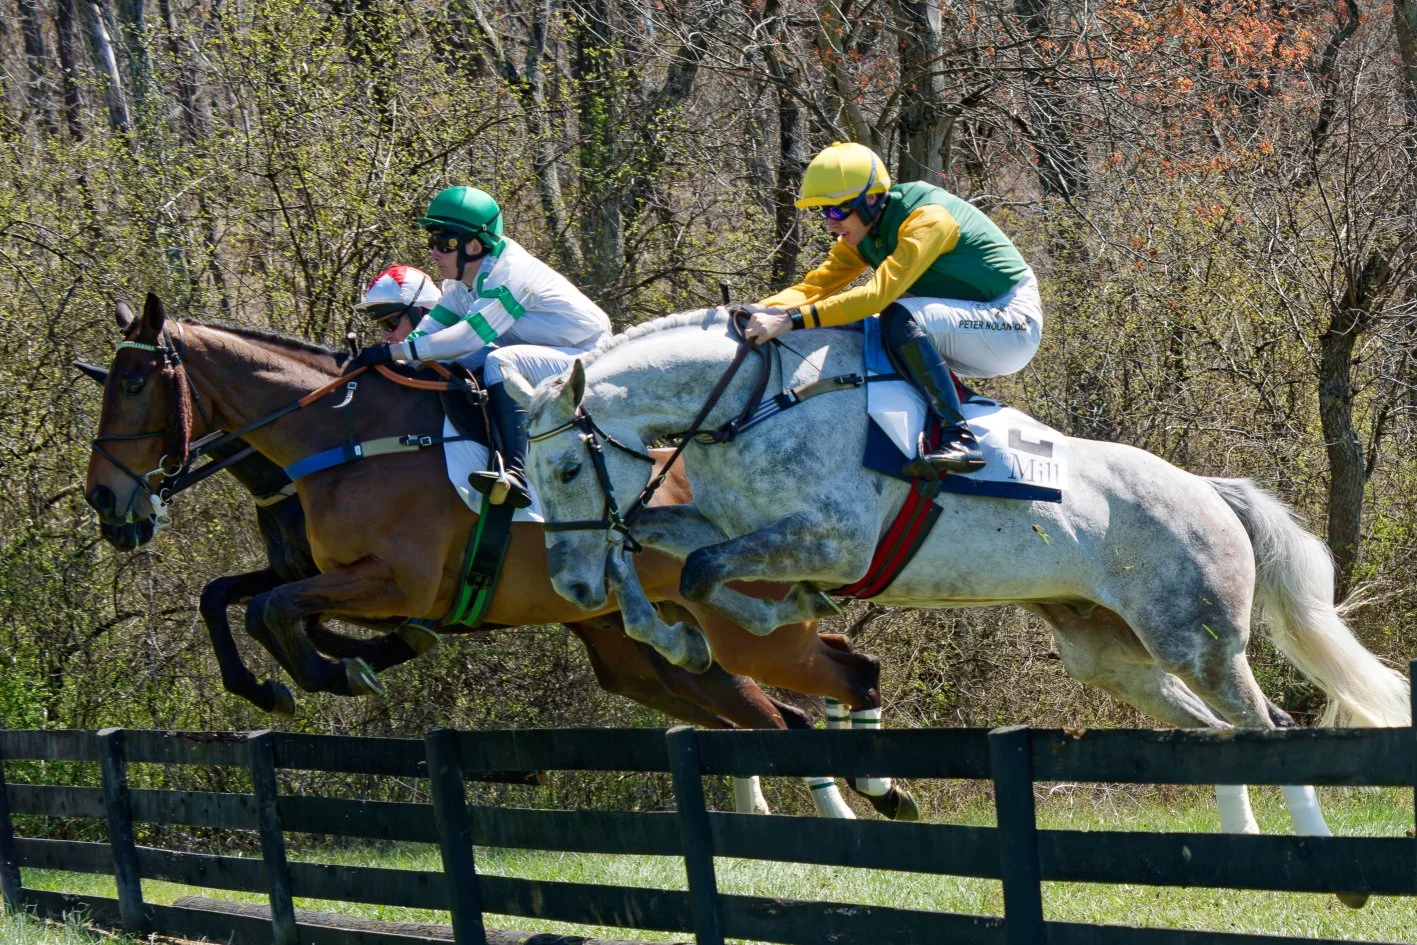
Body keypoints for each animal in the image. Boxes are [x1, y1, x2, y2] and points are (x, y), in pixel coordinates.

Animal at [83, 294, 917, 820]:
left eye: (136, 381)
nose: (104, 500)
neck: (342, 437)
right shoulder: (324, 572)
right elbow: (229, 599)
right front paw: (287, 681)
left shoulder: (395, 582)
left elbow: (270, 610)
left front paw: (336, 672)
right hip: (658, 657)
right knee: (774, 716)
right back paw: (863, 795)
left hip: (747, 631)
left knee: (845, 669)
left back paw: (878, 788)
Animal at [510, 306, 1409, 902]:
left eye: (564, 470)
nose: (571, 590)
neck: (749, 406)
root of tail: (1208, 489)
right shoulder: (723, 522)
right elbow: (652, 545)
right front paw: (677, 633)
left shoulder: (830, 538)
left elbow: (698, 570)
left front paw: (734, 620)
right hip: (1113, 653)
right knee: (1218, 734)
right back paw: (1243, 848)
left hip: (1196, 640)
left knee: (1268, 728)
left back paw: (1330, 874)